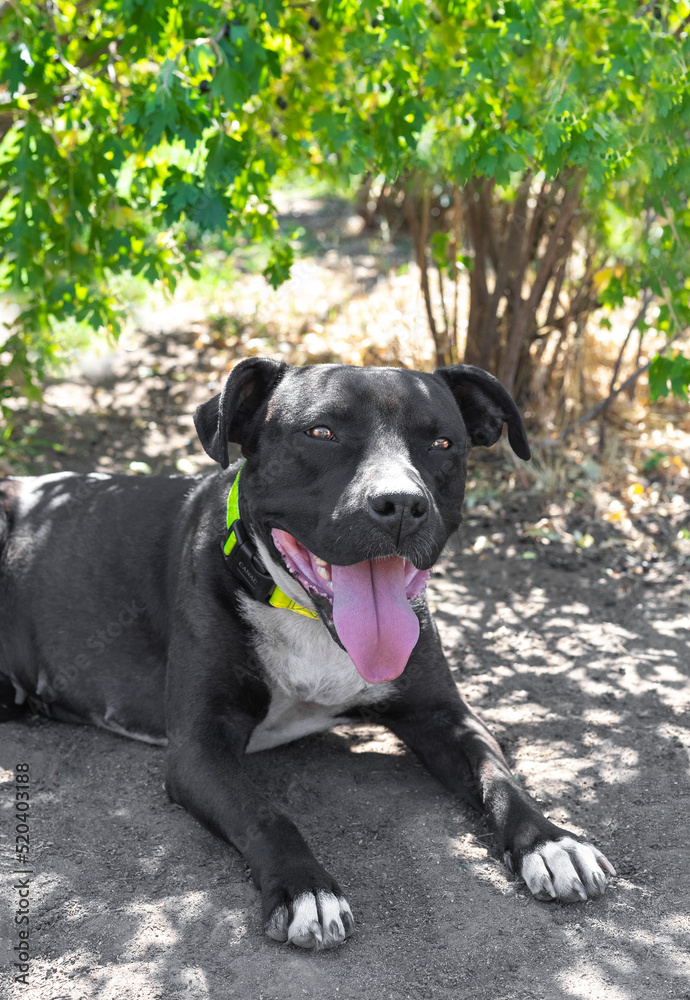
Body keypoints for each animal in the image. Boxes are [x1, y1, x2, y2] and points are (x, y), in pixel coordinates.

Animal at [0, 358, 612, 944]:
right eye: (321, 432)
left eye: (442, 444)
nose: (400, 504)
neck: (309, 619)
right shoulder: (199, 748)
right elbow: (265, 812)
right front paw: (305, 889)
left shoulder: (443, 715)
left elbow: (498, 776)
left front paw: (549, 841)